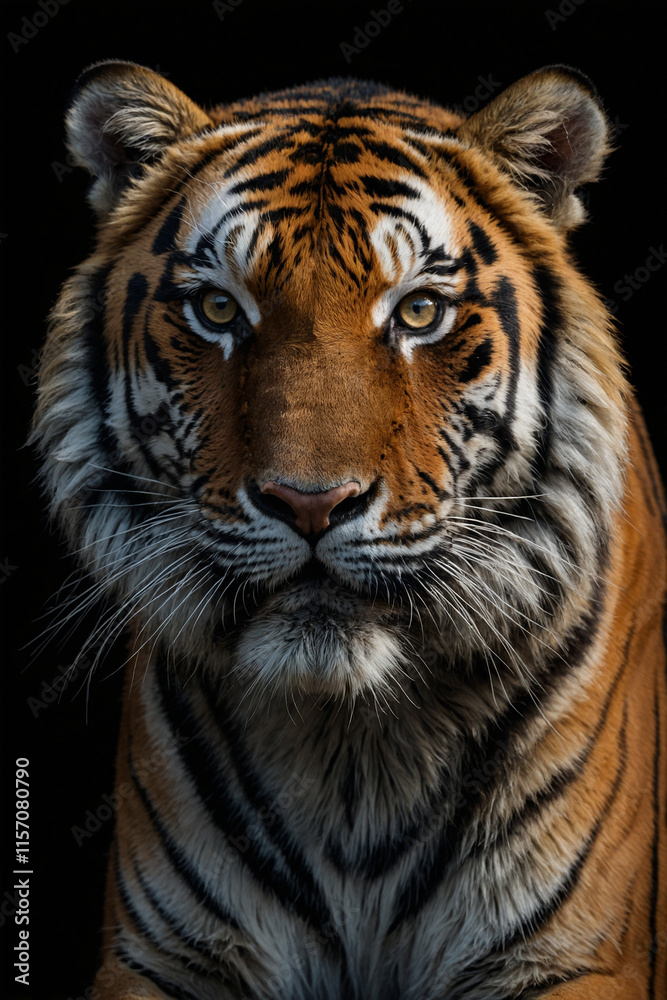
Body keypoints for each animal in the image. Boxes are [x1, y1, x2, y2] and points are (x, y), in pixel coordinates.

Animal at [32, 60, 666, 999]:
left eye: (419, 313)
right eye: (218, 309)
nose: (308, 503)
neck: (351, 747)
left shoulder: (570, 954)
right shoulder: (167, 957)